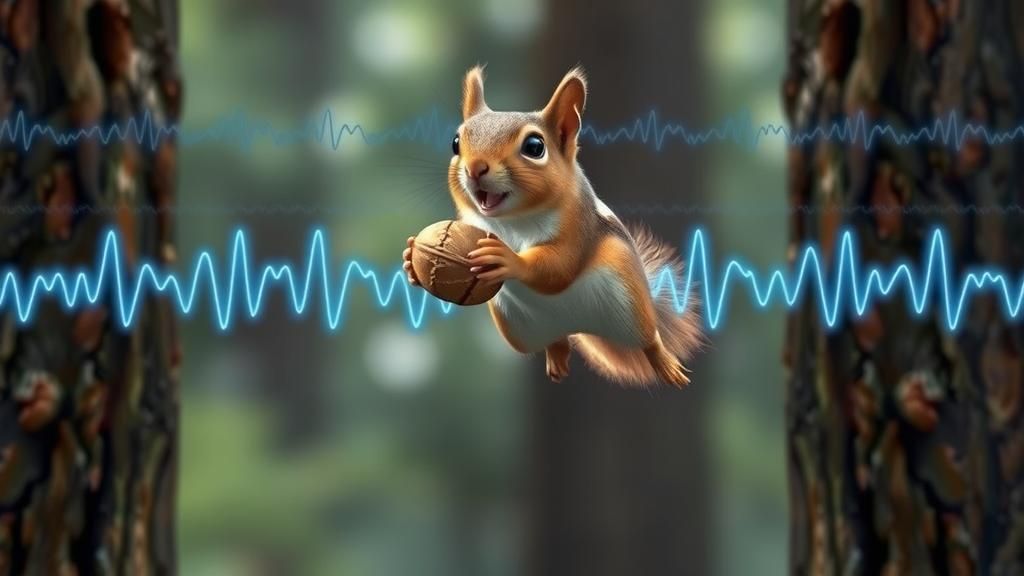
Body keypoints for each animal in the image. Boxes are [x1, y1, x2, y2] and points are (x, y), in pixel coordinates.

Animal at [403, 66, 702, 387]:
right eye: (456, 142)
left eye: (535, 147)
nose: (475, 168)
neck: (512, 221)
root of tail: (577, 324)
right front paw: (410, 260)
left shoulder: (577, 227)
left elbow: (559, 266)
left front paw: (508, 259)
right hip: (519, 329)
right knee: (555, 340)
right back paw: (557, 356)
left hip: (629, 304)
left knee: (648, 340)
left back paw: (665, 365)